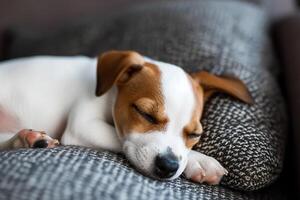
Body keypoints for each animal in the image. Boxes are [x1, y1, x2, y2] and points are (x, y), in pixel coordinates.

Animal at [0, 50, 253, 185]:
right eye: (145, 113)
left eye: (195, 134)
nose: (168, 166)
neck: (111, 90)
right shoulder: (83, 125)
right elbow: (122, 139)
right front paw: (199, 159)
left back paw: (29, 139)